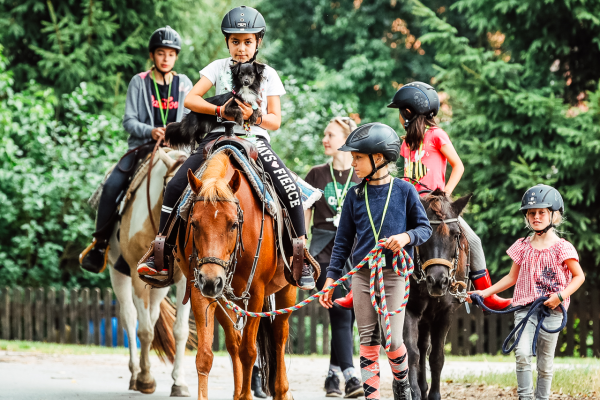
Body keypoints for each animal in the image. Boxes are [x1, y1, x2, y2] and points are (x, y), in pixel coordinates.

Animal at [106, 148, 192, 396]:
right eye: (171, 188)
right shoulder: (136, 278)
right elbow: (143, 330)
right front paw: (145, 379)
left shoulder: (184, 280)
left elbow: (180, 331)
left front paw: (179, 382)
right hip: (117, 274)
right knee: (129, 318)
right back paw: (135, 375)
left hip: (158, 286)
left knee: (152, 317)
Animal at [176, 152, 298, 400]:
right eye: (194, 223)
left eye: (233, 224)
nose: (211, 280)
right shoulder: (199, 289)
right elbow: (205, 356)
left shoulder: (256, 292)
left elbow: (249, 351)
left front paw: (247, 395)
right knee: (234, 341)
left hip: (286, 288)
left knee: (279, 335)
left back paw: (281, 390)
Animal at [404, 190, 474, 400]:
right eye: (423, 234)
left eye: (456, 234)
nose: (437, 281)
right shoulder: (409, 310)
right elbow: (411, 353)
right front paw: (413, 391)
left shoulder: (445, 313)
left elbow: (436, 357)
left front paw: (433, 394)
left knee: (424, 347)